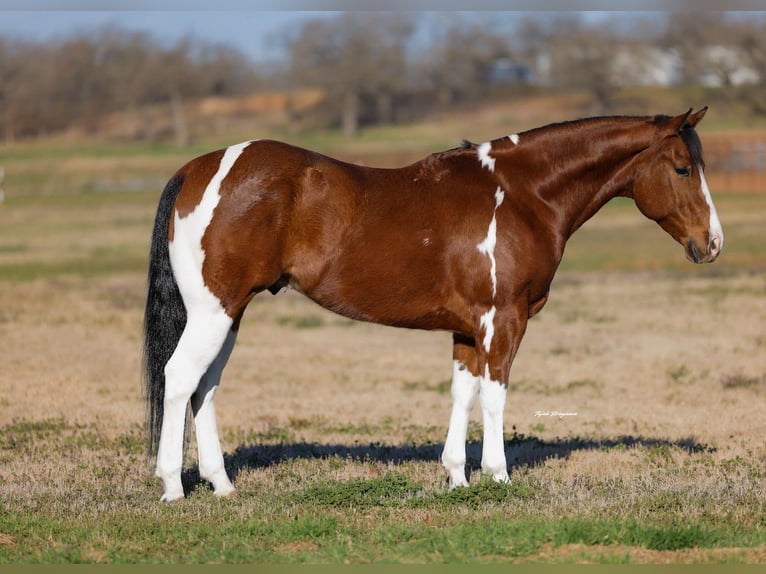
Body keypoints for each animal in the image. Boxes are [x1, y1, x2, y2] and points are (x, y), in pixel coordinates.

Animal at [143, 107, 723, 502]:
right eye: (681, 169)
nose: (712, 243)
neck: (522, 196)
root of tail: (199, 170)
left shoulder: (468, 327)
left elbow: (462, 394)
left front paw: (456, 477)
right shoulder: (503, 320)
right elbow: (495, 395)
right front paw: (497, 476)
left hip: (229, 313)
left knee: (206, 386)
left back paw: (222, 485)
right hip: (214, 312)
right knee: (180, 377)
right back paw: (173, 486)